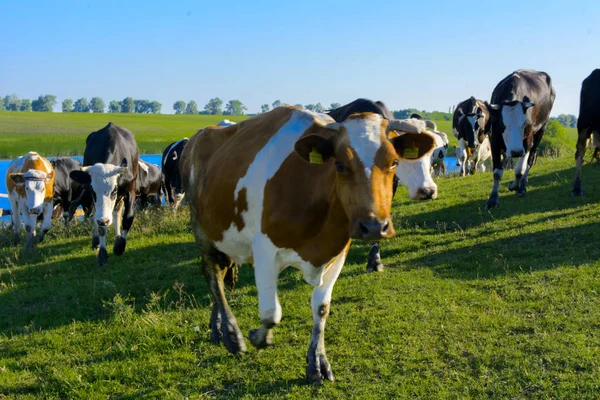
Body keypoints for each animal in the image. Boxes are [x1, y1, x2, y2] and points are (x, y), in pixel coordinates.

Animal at [70, 122, 139, 266]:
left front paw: (120, 246)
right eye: (93, 190)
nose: (104, 220)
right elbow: (100, 225)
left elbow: (128, 217)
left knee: (117, 213)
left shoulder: (130, 189)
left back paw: (118, 238)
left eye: (114, 190)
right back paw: (96, 241)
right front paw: (102, 252)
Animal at [179, 105, 436, 382]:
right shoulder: (264, 249)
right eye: (340, 164)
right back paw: (230, 333)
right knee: (212, 273)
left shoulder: (338, 252)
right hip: (201, 226)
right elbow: (271, 313)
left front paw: (317, 362)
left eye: (394, 162)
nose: (375, 226)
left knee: (223, 272)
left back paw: (218, 327)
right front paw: (257, 336)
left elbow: (321, 308)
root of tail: (201, 134)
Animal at [486, 70, 556, 211]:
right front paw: (493, 199)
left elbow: (519, 170)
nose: (516, 152)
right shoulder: (494, 139)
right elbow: (497, 172)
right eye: (502, 125)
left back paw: (522, 185)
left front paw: (515, 185)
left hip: (541, 130)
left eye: (524, 124)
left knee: (530, 160)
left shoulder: (527, 141)